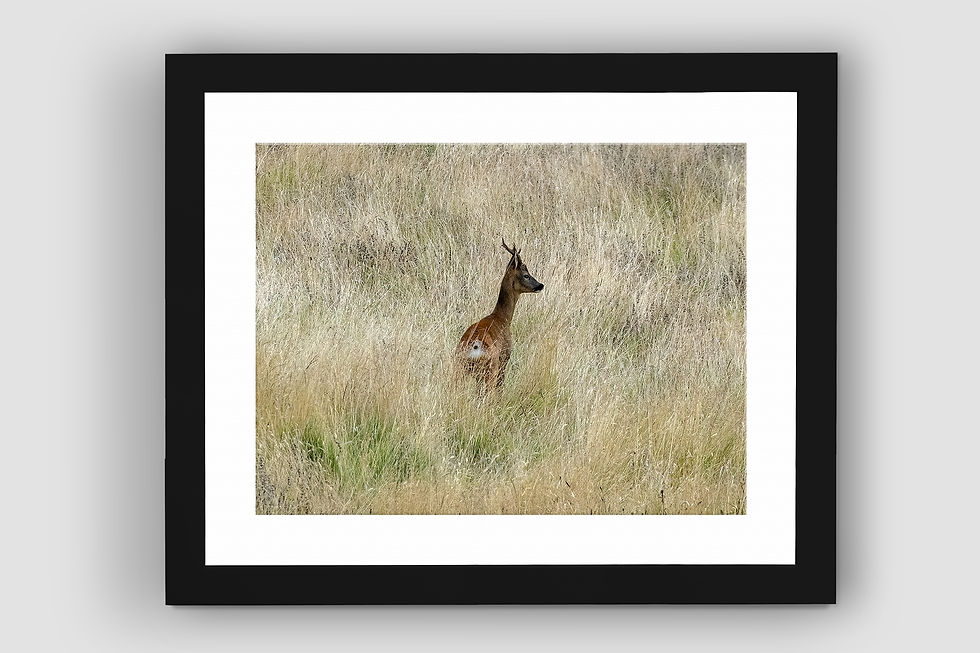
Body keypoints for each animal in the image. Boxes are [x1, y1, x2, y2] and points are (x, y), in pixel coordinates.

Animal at [456, 239, 545, 393]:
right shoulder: (505, 357)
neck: (502, 318)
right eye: (526, 275)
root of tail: (475, 347)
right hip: (491, 367)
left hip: (460, 368)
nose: (540, 285)